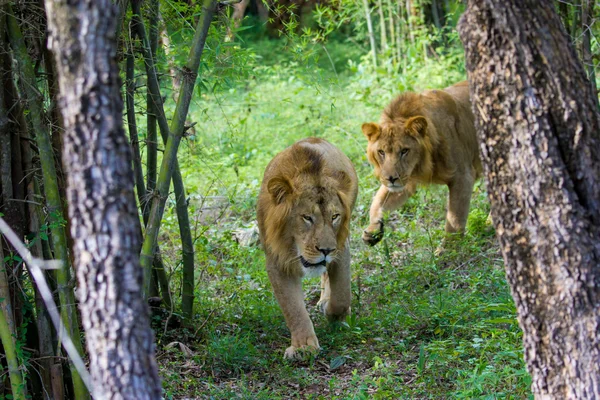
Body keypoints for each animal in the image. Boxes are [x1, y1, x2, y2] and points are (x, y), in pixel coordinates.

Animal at [256, 138, 358, 360]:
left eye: (335, 216)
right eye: (307, 218)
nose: (326, 250)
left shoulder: (341, 247)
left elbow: (342, 295)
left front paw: (334, 313)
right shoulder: (277, 261)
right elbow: (293, 308)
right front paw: (304, 347)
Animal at [360, 79, 482, 245]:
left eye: (404, 151)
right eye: (381, 152)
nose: (391, 178)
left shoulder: (463, 177)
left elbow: (455, 220)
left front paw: (448, 250)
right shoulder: (405, 180)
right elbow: (378, 202)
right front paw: (372, 230)